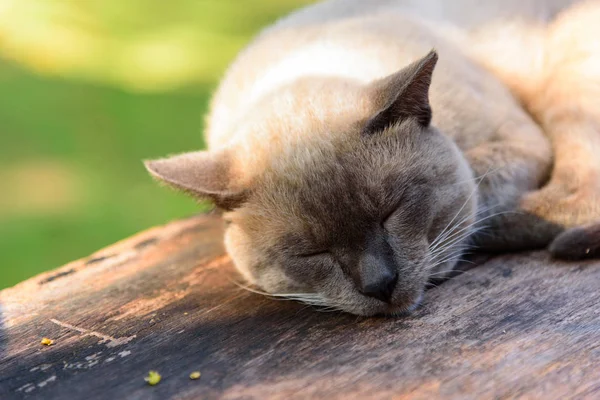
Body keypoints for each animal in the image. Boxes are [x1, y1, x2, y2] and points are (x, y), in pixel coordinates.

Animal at [144, 1, 600, 318]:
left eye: (391, 213)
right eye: (312, 253)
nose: (380, 284)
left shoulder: (518, 142)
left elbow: (474, 192)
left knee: (574, 203)